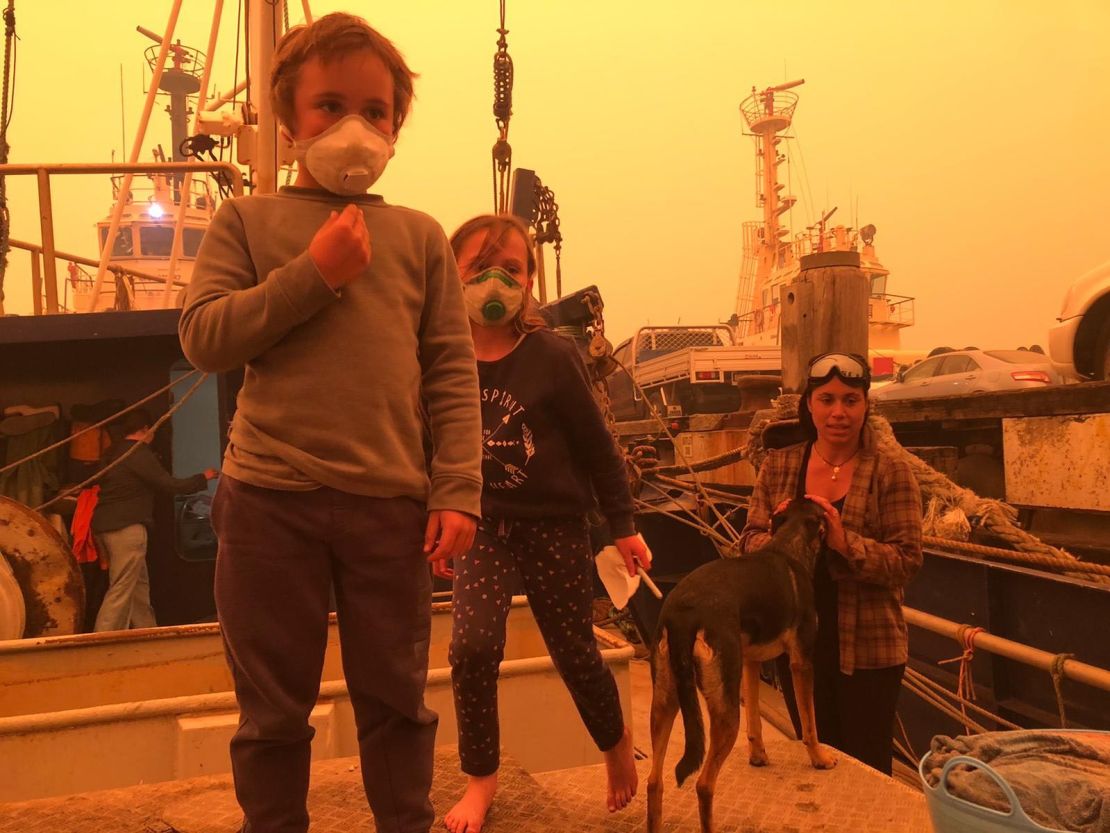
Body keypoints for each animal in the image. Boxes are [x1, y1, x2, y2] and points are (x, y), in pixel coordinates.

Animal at [648, 499, 834, 830]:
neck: (788, 545)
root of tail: (683, 614)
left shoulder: (750, 662)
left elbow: (755, 722)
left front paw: (758, 756)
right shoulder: (801, 662)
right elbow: (809, 724)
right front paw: (820, 759)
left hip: (665, 701)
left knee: (654, 783)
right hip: (724, 711)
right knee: (704, 784)